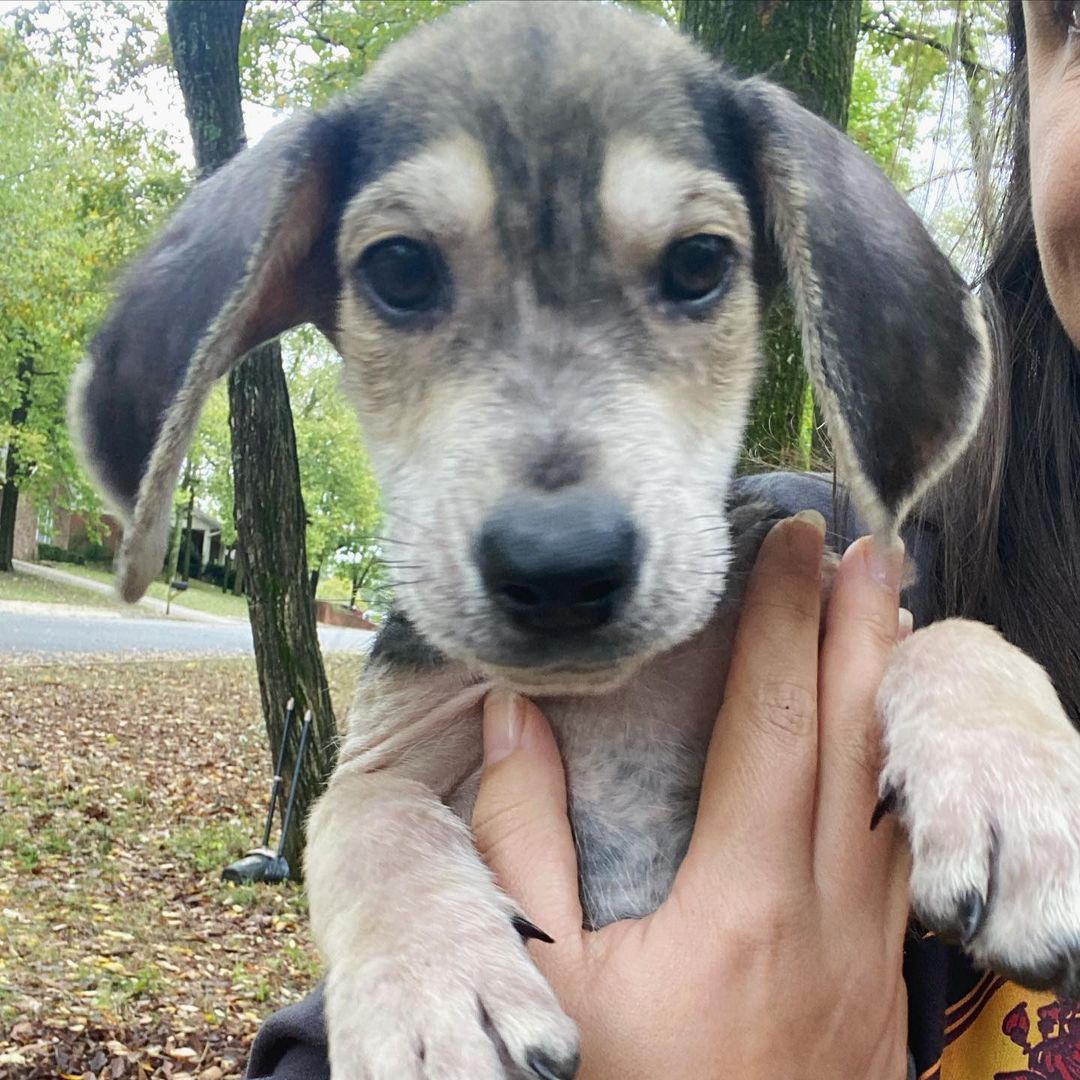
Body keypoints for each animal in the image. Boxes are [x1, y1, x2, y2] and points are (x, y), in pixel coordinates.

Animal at [71, 4, 1080, 1075]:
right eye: (398, 270)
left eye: (699, 264)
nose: (559, 567)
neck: (605, 698)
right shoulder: (394, 744)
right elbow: (363, 815)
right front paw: (434, 990)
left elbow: (944, 629)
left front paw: (1019, 790)